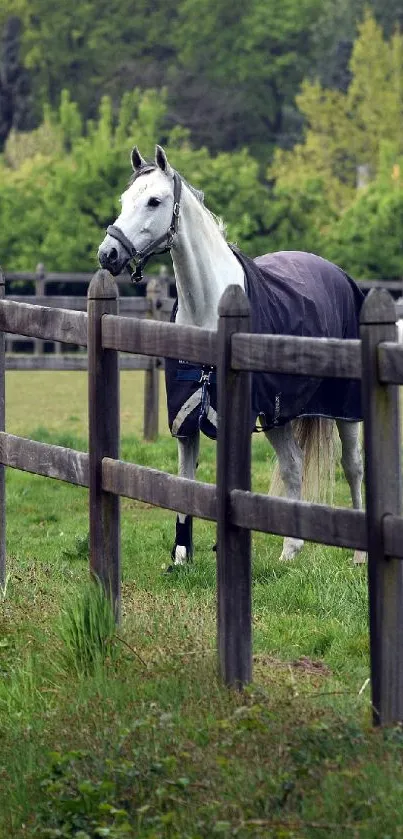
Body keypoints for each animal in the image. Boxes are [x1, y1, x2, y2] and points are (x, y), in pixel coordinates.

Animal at [98, 144, 366, 568]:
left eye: (154, 200)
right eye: (125, 200)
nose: (108, 254)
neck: (209, 307)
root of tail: (338, 274)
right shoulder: (185, 418)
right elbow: (183, 481)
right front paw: (181, 555)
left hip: (345, 407)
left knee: (352, 467)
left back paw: (358, 554)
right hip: (277, 415)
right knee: (293, 466)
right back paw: (290, 551)